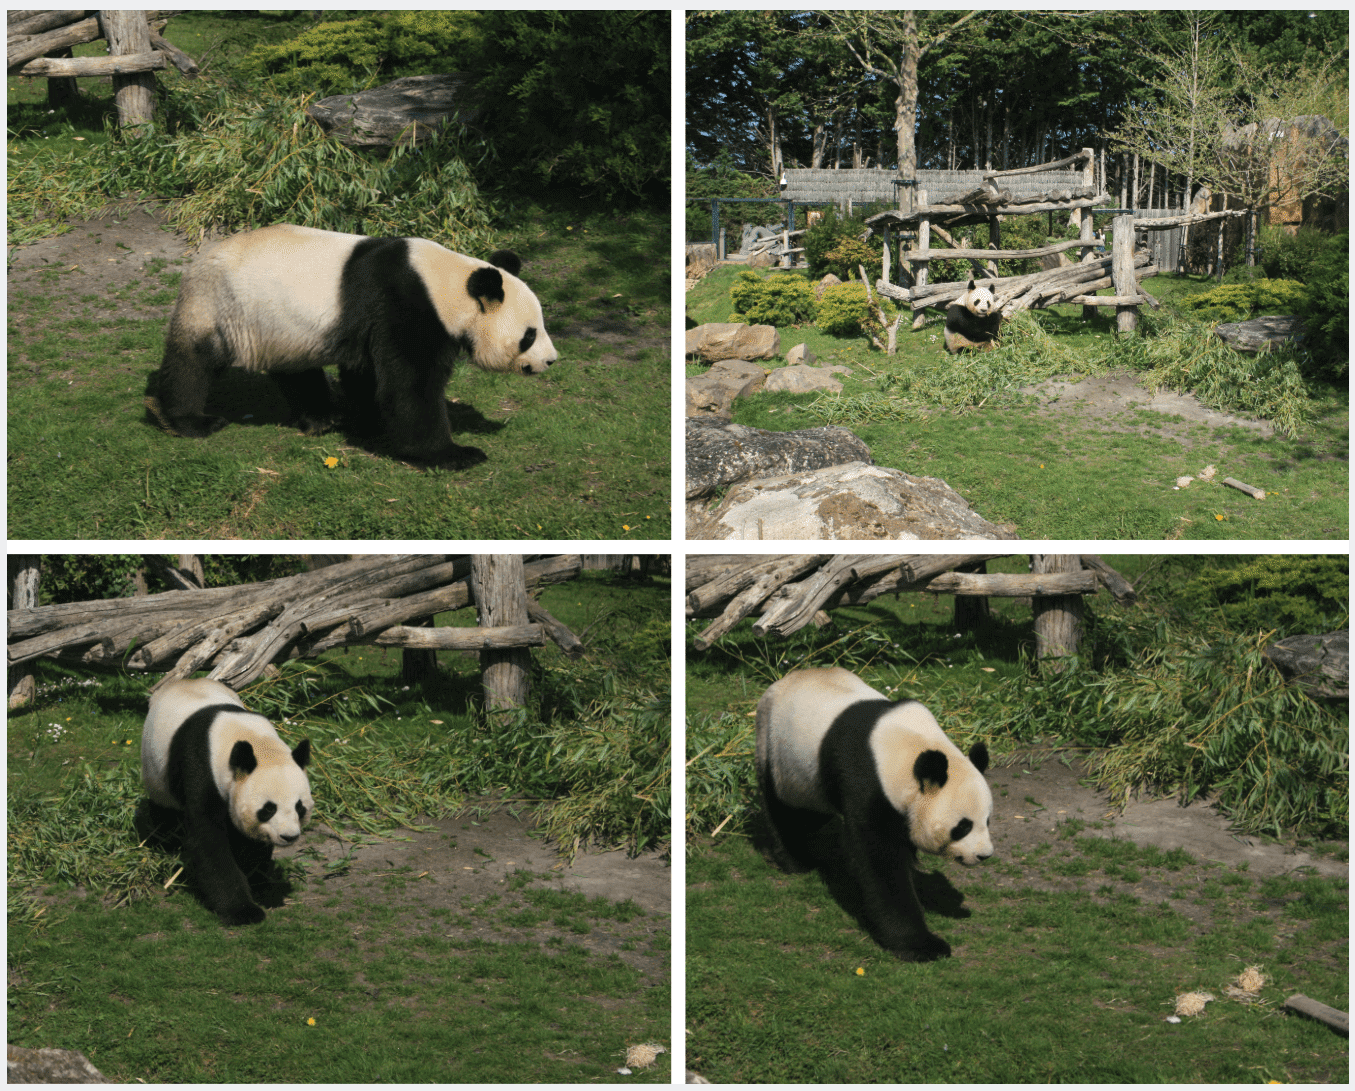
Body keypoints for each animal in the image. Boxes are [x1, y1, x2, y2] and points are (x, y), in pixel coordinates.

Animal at [139, 677, 314, 921]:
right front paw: (243, 911)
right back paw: (165, 843)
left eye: (299, 807)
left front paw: (259, 882)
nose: (289, 837)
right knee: (164, 811)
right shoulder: (201, 768)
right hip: (156, 769)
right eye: (269, 809)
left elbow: (251, 842)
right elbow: (208, 839)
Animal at [142, 224, 555, 468]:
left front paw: (367, 423)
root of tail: (196, 261)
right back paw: (192, 421)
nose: (551, 361)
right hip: (219, 304)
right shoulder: (404, 303)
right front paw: (453, 453)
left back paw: (323, 418)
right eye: (530, 334)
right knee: (192, 364)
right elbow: (410, 385)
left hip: (281, 324)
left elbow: (368, 373)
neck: (447, 283)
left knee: (296, 370)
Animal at [753, 664, 997, 959]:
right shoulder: (867, 781)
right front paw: (923, 945)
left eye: (987, 820)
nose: (984, 855)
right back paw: (795, 860)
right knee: (785, 810)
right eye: (963, 826)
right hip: (779, 753)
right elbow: (880, 862)